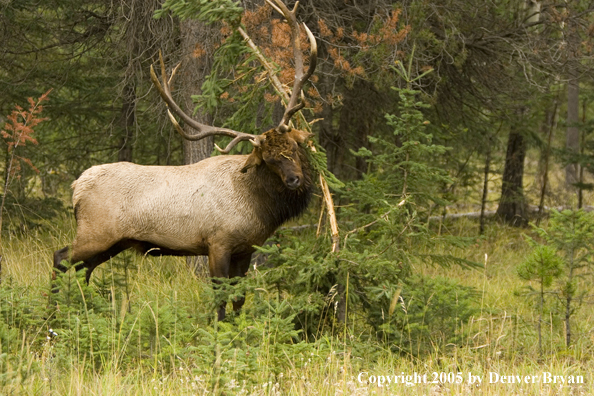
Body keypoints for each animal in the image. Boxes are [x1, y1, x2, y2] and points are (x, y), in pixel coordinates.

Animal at [53, 0, 316, 320]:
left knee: (82, 270)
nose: (294, 179)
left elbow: (239, 297)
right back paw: (53, 311)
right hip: (95, 231)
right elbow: (219, 296)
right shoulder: (218, 241)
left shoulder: (246, 248)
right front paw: (218, 326)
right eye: (267, 158)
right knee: (60, 258)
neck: (259, 207)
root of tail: (76, 186)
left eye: (293, 147)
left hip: (113, 241)